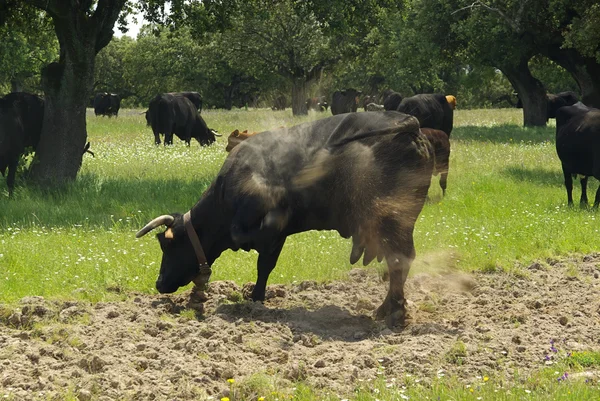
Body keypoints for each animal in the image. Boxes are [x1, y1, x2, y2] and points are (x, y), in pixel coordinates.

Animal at [138, 110, 434, 328]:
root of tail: (407, 123)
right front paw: (256, 299)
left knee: (399, 261)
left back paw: (394, 313)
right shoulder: (277, 240)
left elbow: (245, 234)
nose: (159, 283)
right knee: (401, 261)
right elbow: (264, 266)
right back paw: (388, 309)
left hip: (393, 221)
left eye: (168, 244)